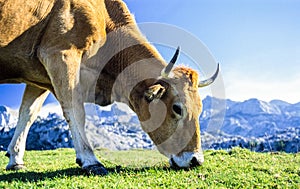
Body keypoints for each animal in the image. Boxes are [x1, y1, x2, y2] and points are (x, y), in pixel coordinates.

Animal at [0, 0, 218, 175]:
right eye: (177, 108)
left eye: (200, 109)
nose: (195, 160)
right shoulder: (60, 53)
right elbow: (75, 109)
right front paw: (90, 160)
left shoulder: (38, 77)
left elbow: (28, 114)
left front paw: (16, 160)